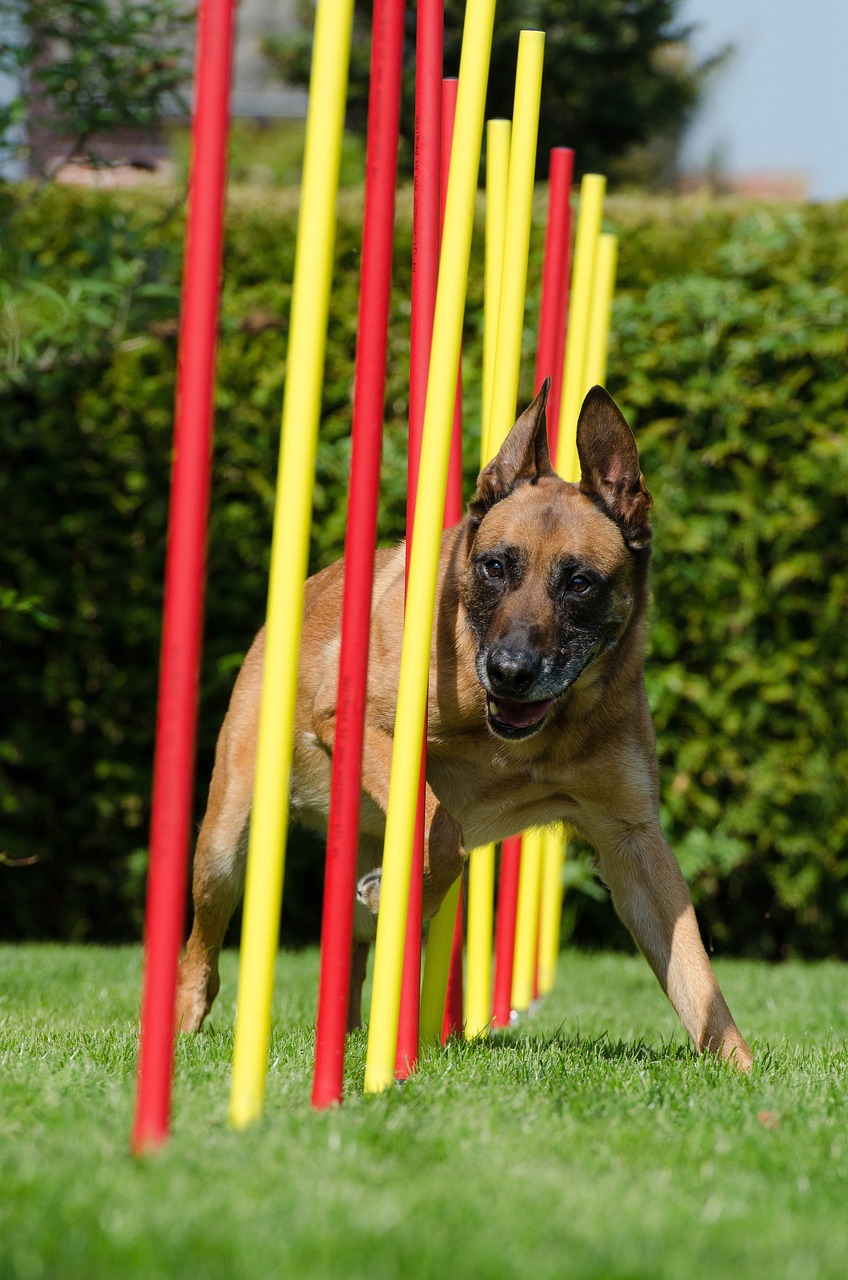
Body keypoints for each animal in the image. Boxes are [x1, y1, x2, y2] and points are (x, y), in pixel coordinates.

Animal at [175, 381, 753, 1070]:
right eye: (494, 567)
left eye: (580, 582)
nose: (510, 673)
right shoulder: (356, 726)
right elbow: (443, 826)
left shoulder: (631, 838)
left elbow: (695, 973)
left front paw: (742, 1071)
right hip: (224, 846)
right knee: (203, 953)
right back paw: (183, 1025)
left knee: (352, 955)